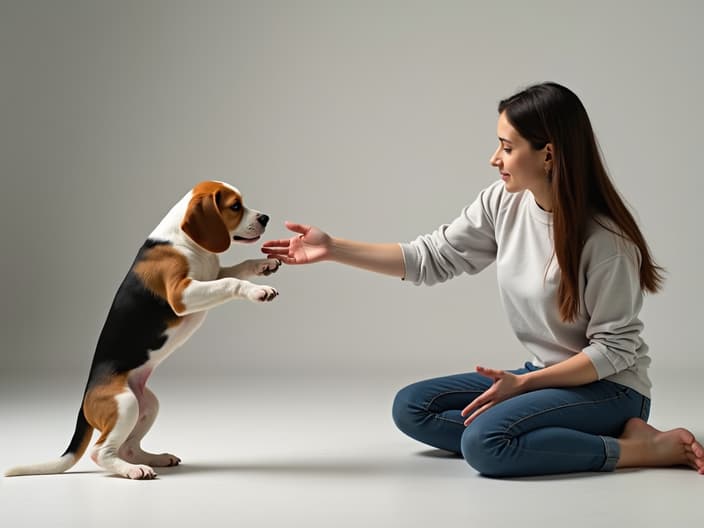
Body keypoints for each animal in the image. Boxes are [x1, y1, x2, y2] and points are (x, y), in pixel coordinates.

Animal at [6, 180, 280, 478]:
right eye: (235, 206)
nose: (265, 218)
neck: (184, 240)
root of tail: (83, 401)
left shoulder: (209, 275)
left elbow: (236, 270)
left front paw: (263, 264)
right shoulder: (181, 294)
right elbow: (231, 281)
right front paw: (257, 291)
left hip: (146, 405)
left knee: (127, 447)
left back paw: (153, 458)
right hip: (125, 404)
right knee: (100, 451)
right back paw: (133, 470)